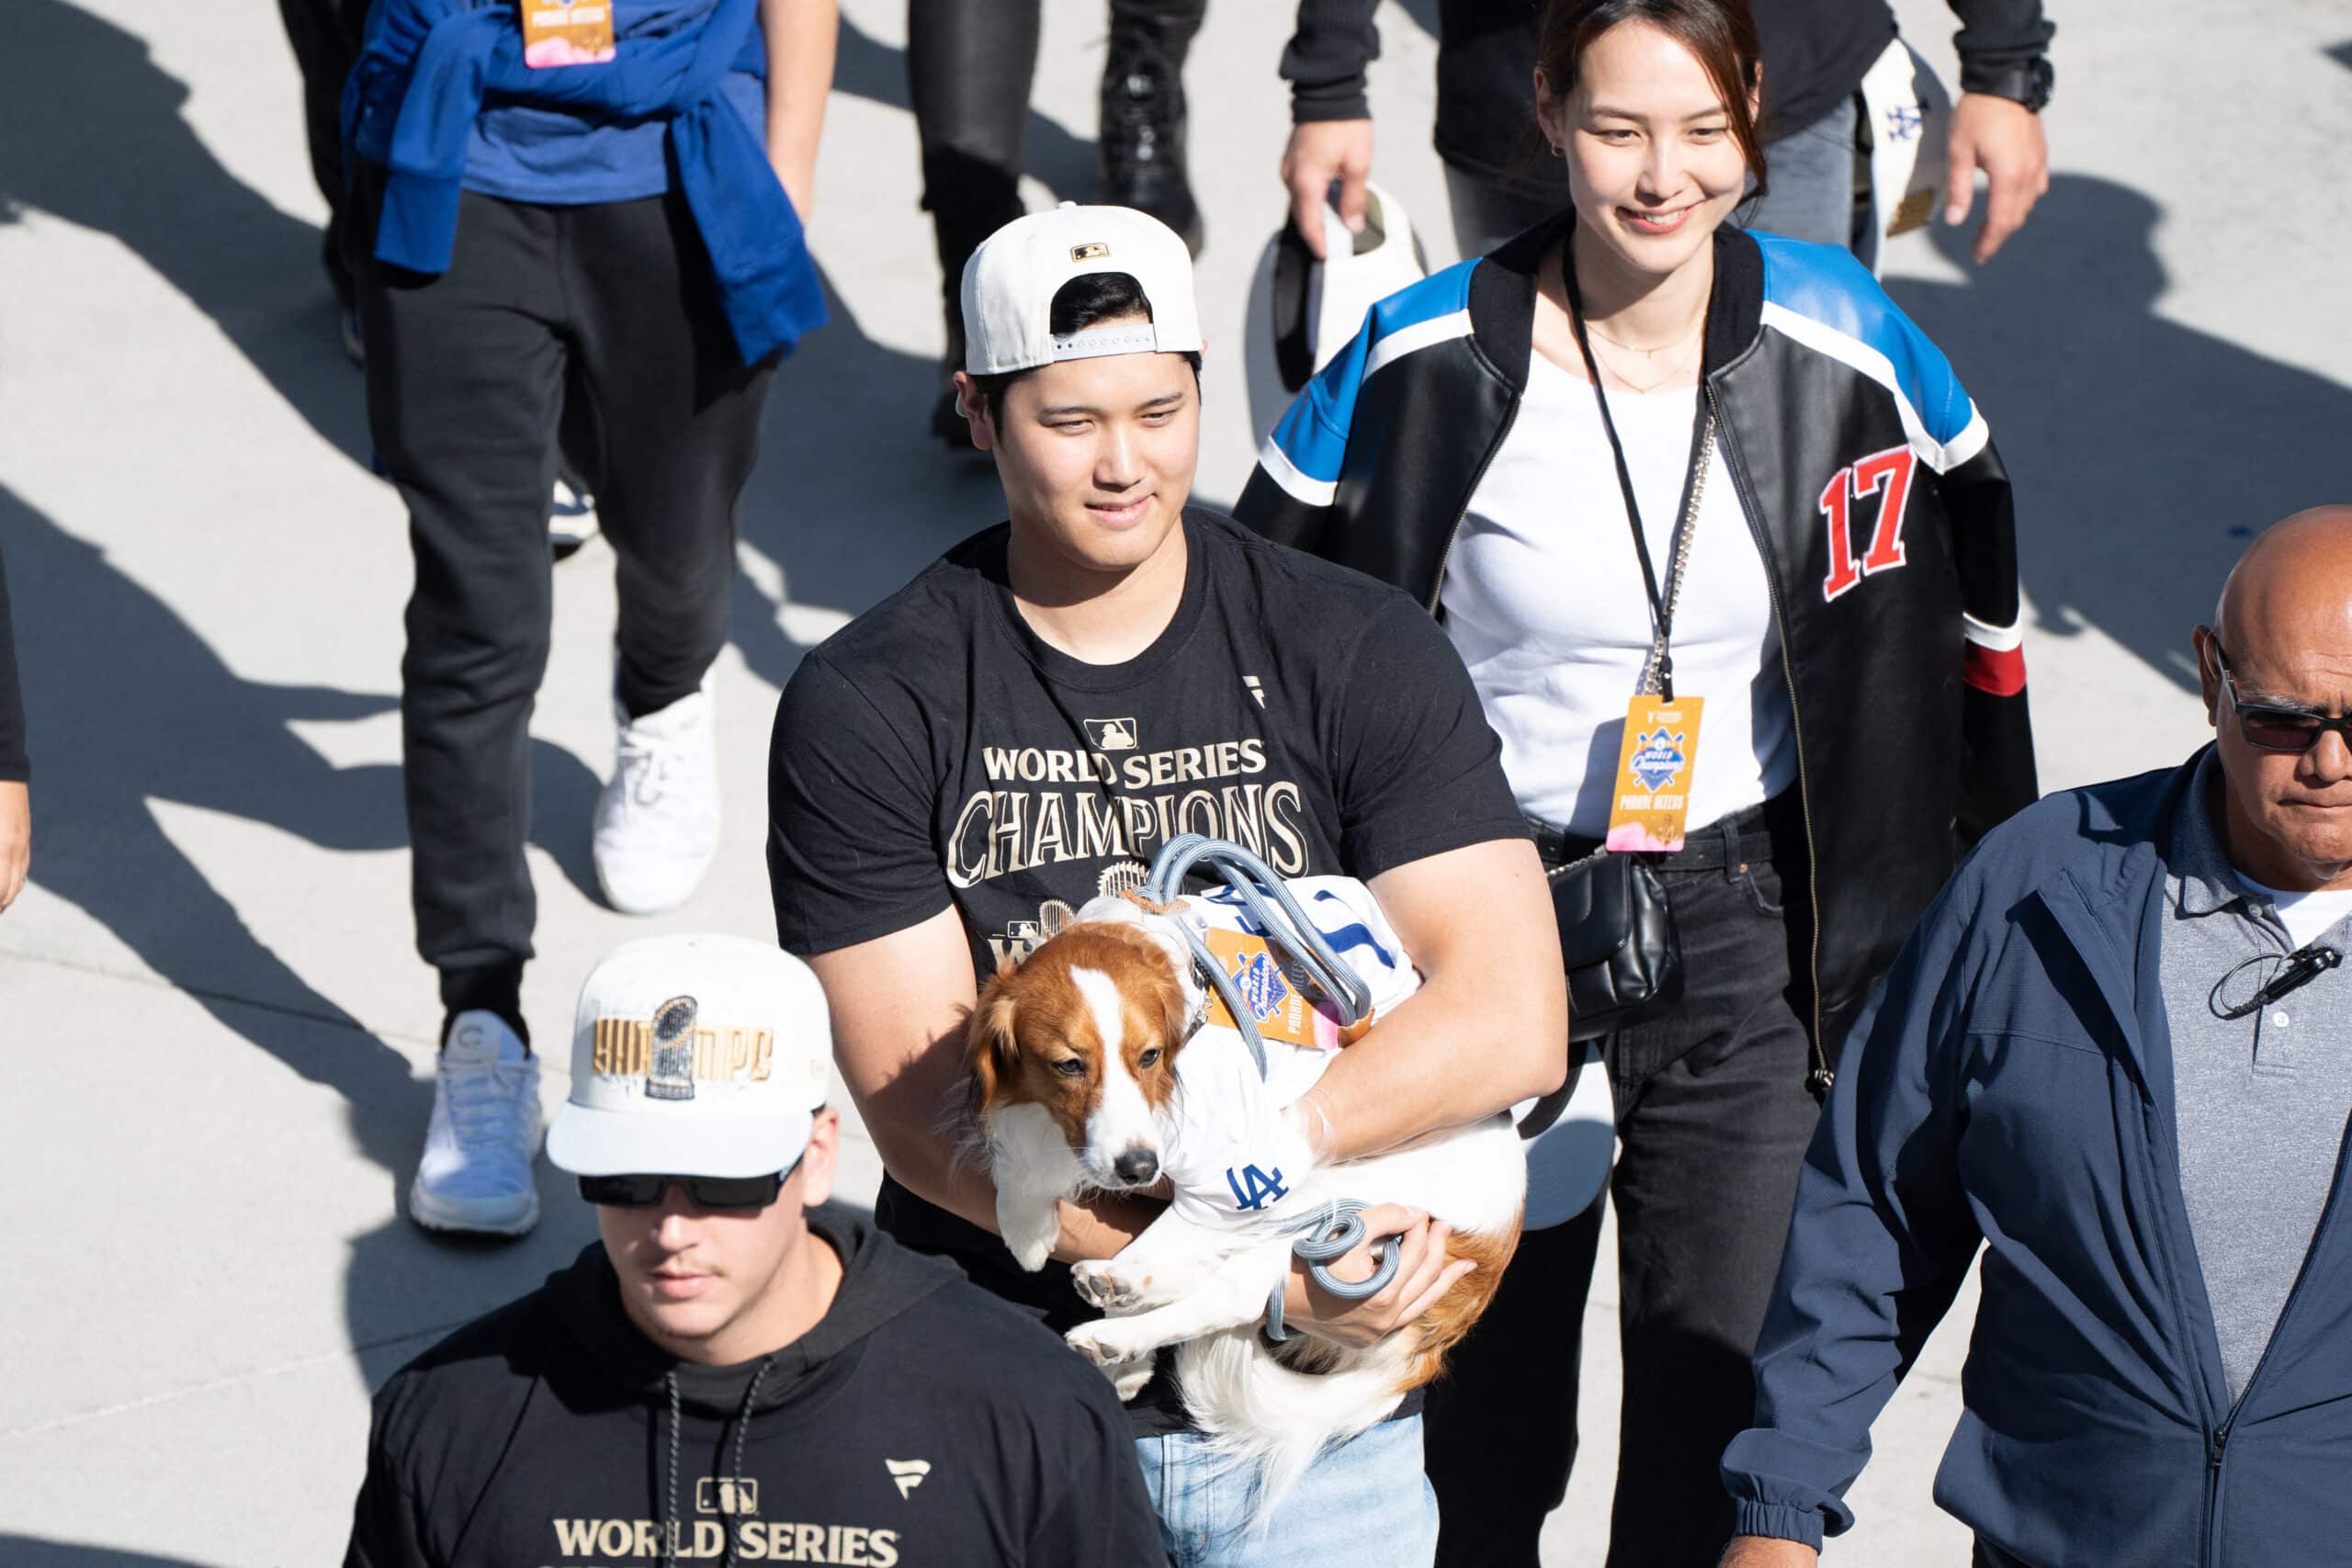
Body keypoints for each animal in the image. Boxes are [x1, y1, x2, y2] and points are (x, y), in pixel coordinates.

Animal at [959, 893, 1523, 1523]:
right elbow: (1022, 1162)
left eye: (1150, 1056)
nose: (1139, 1169)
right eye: (1068, 1065)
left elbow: (1173, 1233)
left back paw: (1119, 1319)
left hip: (1332, 1189)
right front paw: (1027, 1226)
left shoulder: (1241, 1171)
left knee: (1234, 1292)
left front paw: (1114, 1286)